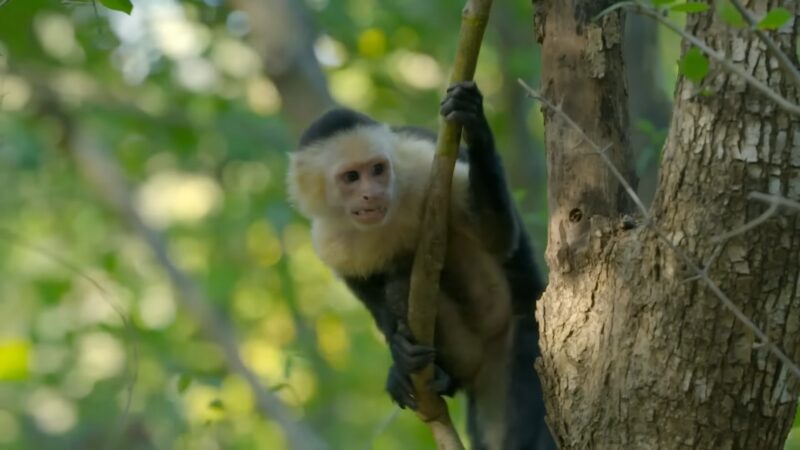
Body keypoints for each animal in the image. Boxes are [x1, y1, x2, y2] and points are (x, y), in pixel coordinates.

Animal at [288, 81, 556, 450]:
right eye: (351, 177)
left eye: (378, 169)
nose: (371, 194)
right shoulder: (329, 241)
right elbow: (368, 293)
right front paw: (398, 351)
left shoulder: (424, 165)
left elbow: (497, 236)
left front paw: (474, 123)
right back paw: (438, 376)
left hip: (521, 341)